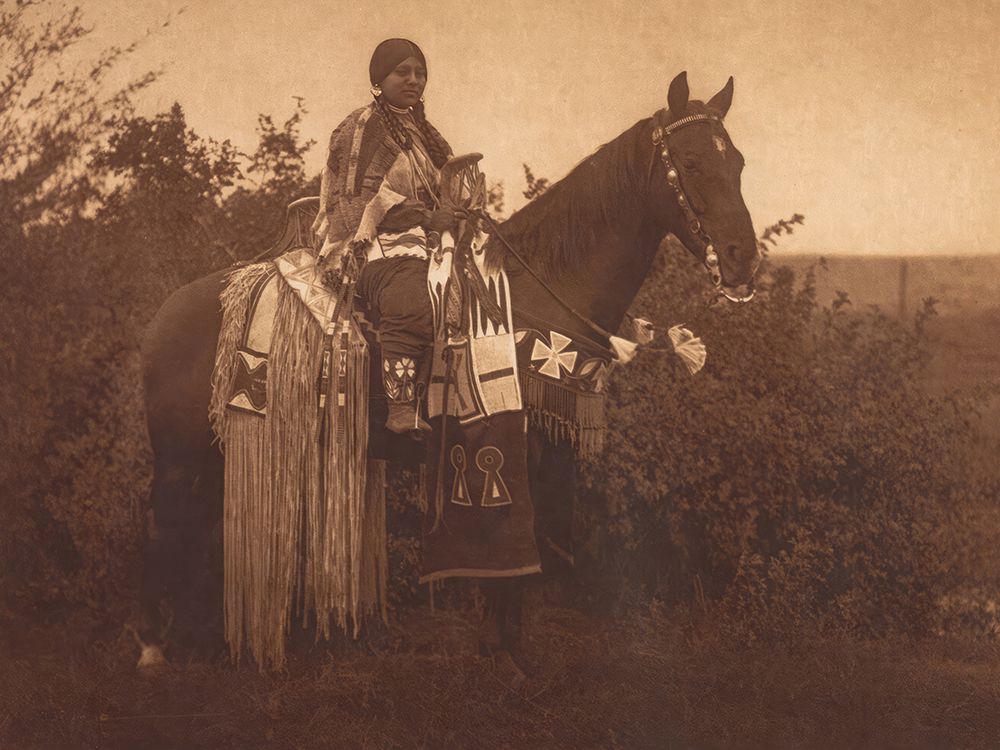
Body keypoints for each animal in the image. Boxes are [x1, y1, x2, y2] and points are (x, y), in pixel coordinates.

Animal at [133, 70, 756, 668]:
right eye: (692, 164)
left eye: (739, 163)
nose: (742, 259)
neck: (536, 295)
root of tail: (163, 316)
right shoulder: (511, 448)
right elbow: (511, 550)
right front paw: (500, 653)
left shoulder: (552, 452)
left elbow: (537, 549)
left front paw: (508, 646)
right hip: (181, 455)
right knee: (162, 531)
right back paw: (154, 649)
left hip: (219, 446)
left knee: (199, 532)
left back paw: (202, 641)